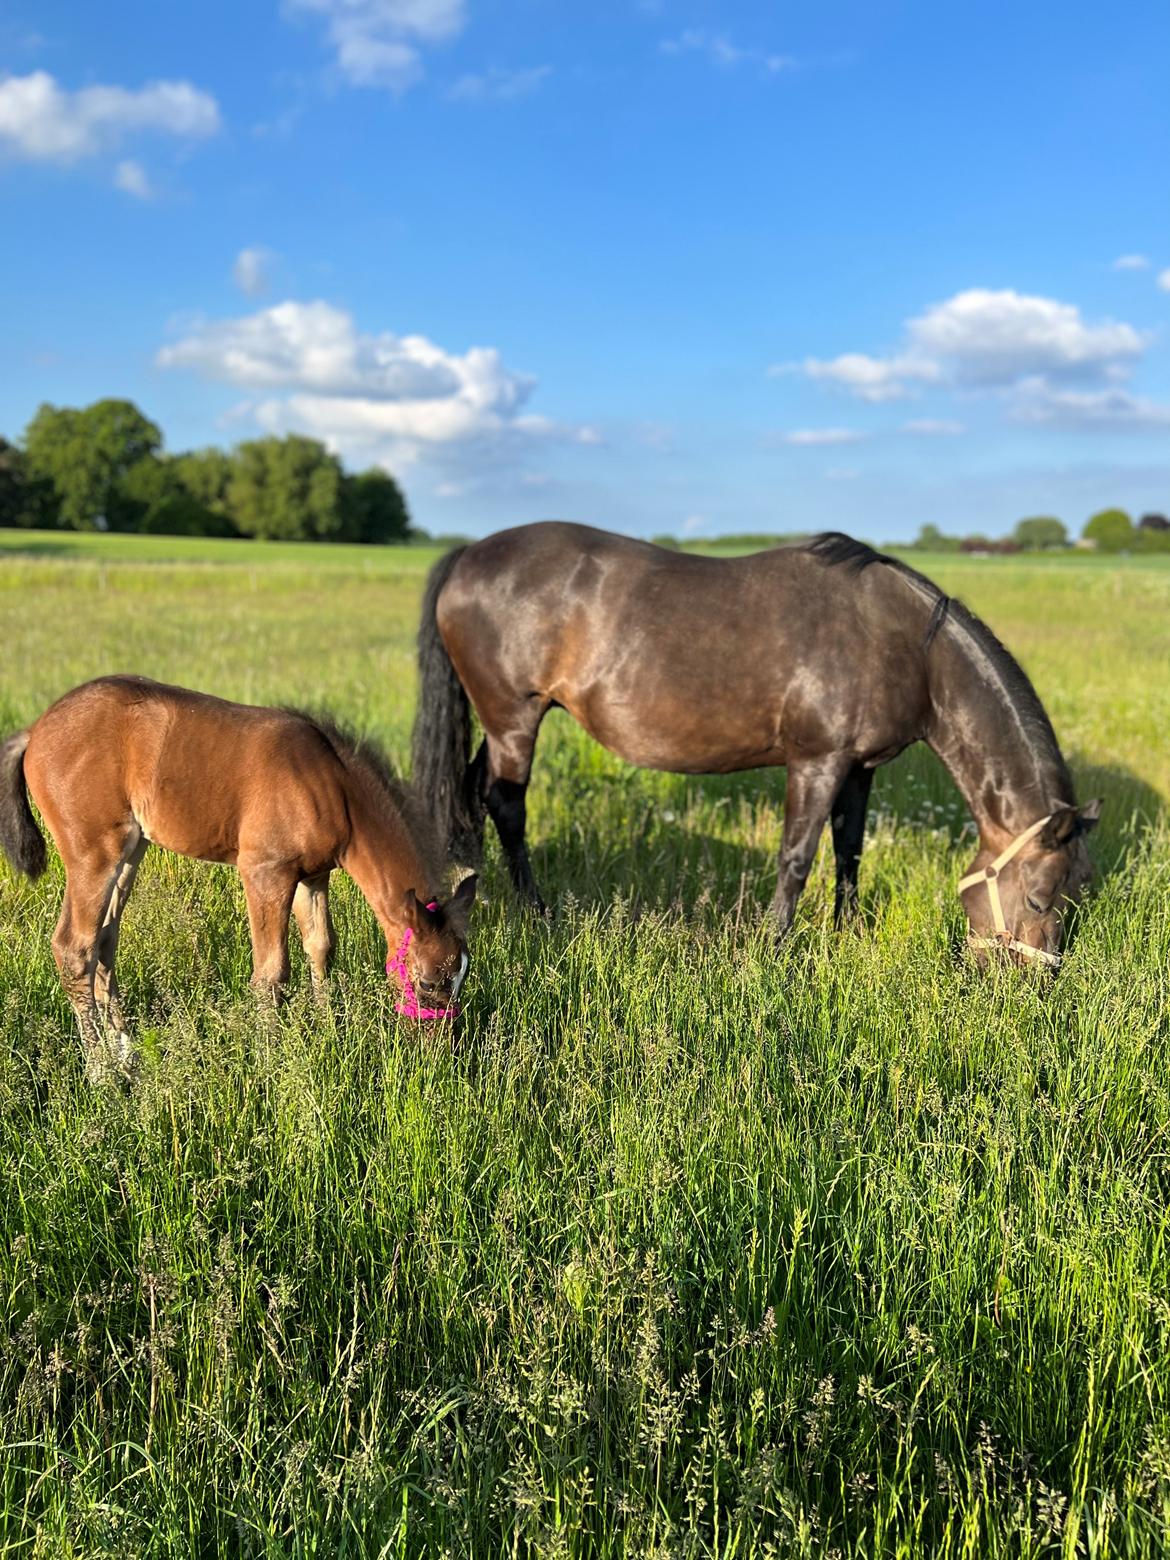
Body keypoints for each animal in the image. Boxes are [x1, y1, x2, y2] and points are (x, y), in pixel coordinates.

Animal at [0, 676, 476, 1082]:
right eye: (428, 982)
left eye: (462, 977)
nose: (442, 1052)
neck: (333, 786)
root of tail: (35, 730)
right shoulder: (265, 872)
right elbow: (271, 973)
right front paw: (270, 1059)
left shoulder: (312, 876)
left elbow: (322, 948)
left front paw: (328, 1031)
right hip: (93, 853)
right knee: (73, 947)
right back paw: (102, 1073)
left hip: (131, 851)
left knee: (104, 942)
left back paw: (128, 1057)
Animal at [411, 524, 1099, 968]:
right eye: (1037, 898)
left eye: (1079, 894)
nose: (1035, 984)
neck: (907, 644)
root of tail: (468, 555)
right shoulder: (817, 762)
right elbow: (796, 858)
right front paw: (772, 947)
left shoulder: (859, 769)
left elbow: (849, 850)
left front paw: (846, 932)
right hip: (514, 718)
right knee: (508, 806)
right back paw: (538, 912)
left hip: (499, 723)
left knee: (475, 792)